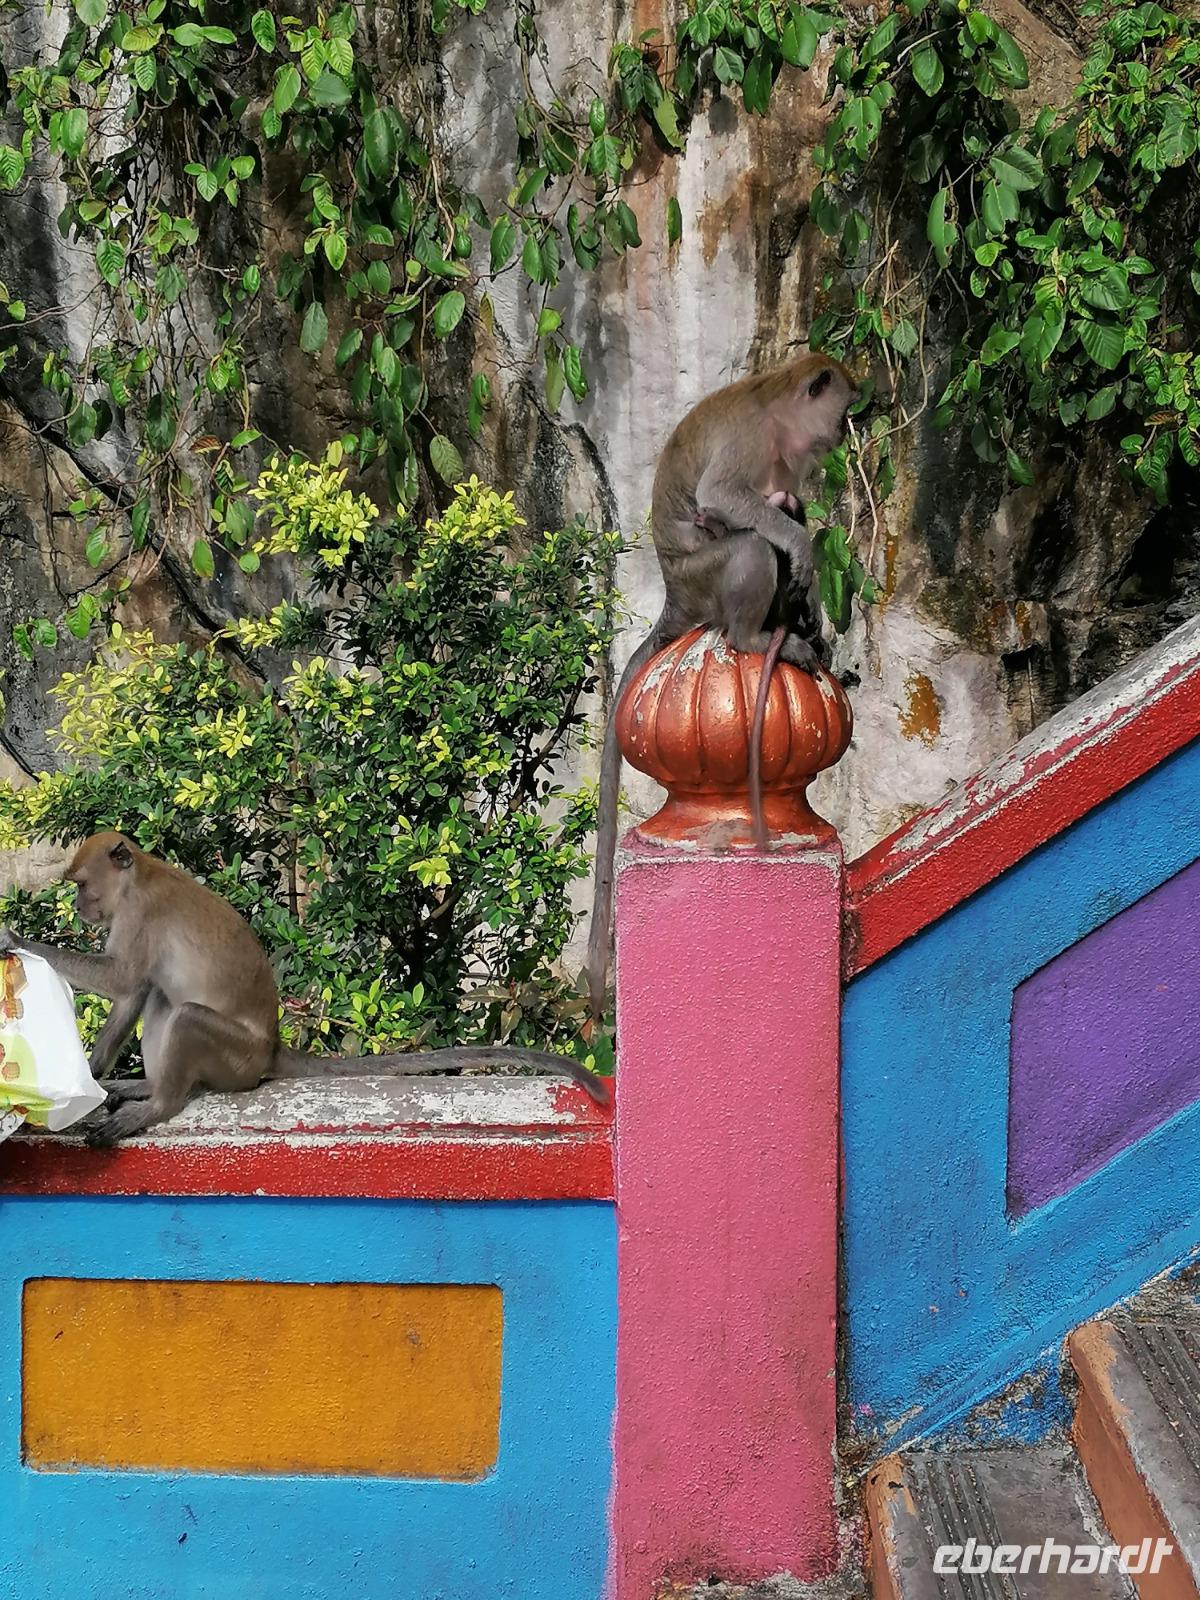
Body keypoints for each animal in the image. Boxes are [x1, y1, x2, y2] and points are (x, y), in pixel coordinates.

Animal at [0, 832, 610, 1146]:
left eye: (82, 885)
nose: (80, 906)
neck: (139, 876)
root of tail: (271, 1047)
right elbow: (131, 994)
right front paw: (92, 1079)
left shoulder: (138, 916)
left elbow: (124, 980)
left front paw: (11, 937)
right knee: (161, 999)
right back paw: (143, 1090)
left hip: (236, 1060)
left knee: (187, 1013)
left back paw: (159, 1104)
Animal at [585, 353, 857, 1023]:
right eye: (842, 411)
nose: (841, 437)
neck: (780, 417)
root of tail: (676, 598)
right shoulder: (752, 438)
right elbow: (726, 499)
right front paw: (803, 551)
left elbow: (788, 505)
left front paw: (813, 608)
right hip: (703, 578)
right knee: (751, 545)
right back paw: (755, 638)